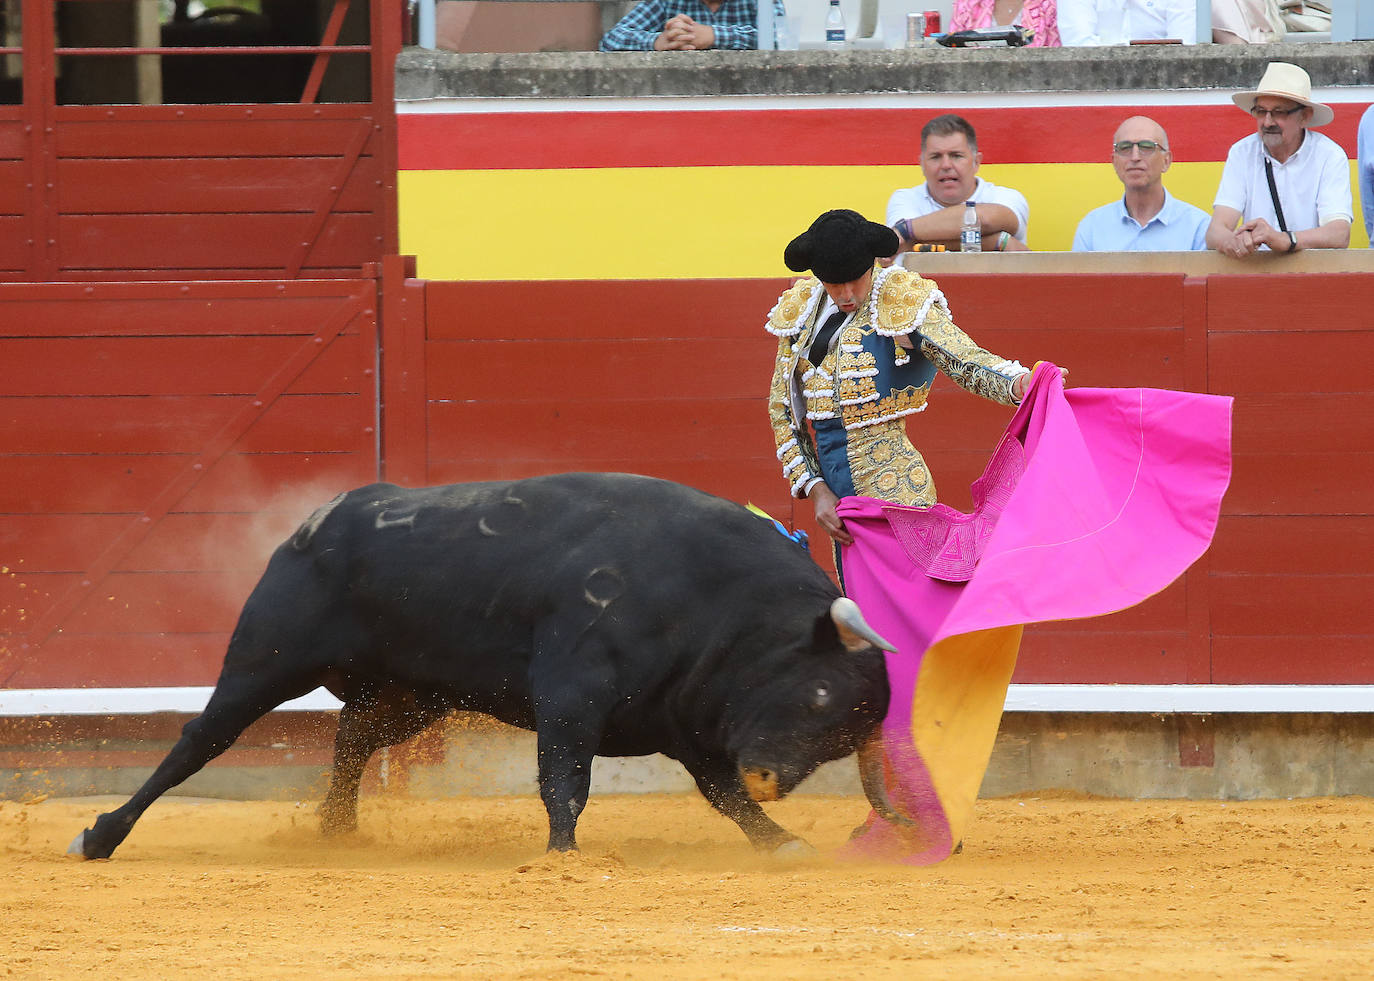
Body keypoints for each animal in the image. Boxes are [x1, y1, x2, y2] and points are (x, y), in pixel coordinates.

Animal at [69, 472, 906, 857]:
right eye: (818, 692)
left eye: (844, 734)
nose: (773, 776)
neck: (714, 601)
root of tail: (325, 516)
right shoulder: (572, 690)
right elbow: (565, 779)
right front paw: (563, 855)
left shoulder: (687, 719)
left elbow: (722, 793)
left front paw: (781, 840)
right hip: (268, 657)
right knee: (199, 739)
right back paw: (103, 833)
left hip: (409, 695)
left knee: (351, 742)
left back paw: (338, 833)